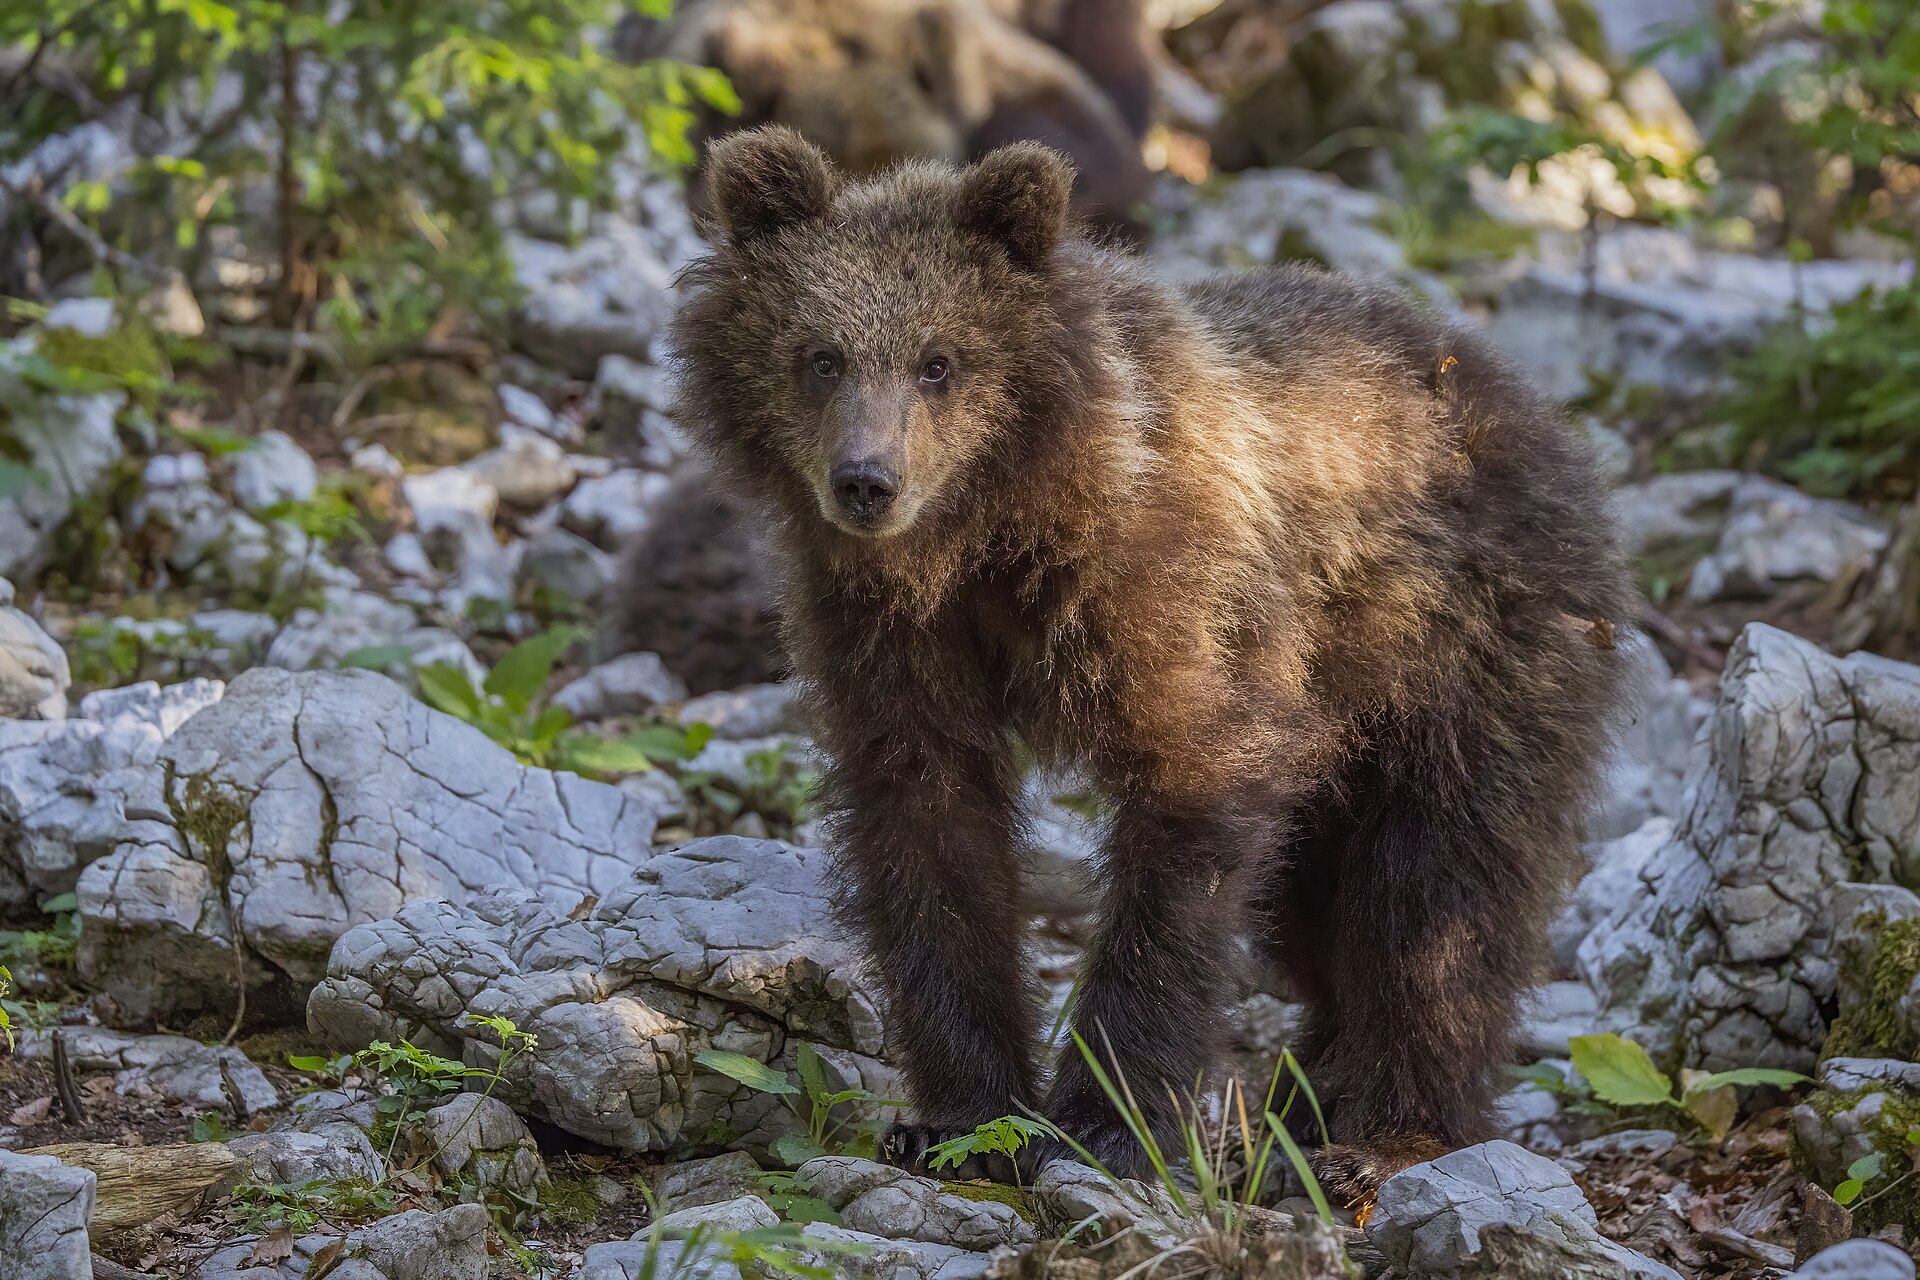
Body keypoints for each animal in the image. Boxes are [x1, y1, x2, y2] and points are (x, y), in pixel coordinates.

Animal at [665, 125, 1632, 1202]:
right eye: (821, 356)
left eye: (939, 361)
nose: (867, 482)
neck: (994, 529)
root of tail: (1534, 410)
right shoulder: (885, 632)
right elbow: (930, 828)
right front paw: (963, 1117)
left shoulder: (1171, 590)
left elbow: (1188, 814)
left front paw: (1104, 1123)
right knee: (1317, 909)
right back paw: (1302, 1106)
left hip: (1468, 650)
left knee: (1439, 894)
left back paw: (1382, 1137)